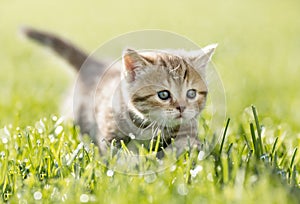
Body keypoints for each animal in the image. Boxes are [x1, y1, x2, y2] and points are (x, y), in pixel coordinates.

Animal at [22, 27, 217, 156]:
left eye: (191, 93)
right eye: (163, 95)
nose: (182, 108)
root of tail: (95, 65)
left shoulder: (187, 129)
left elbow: (187, 146)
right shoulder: (110, 134)